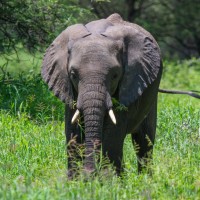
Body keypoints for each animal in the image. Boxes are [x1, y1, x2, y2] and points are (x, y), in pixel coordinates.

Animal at [40, 12, 164, 178]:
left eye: (115, 75)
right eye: (73, 74)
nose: (90, 173)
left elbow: (112, 133)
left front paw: (109, 181)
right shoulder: (68, 88)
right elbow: (73, 132)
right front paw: (75, 181)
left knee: (144, 141)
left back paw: (145, 180)